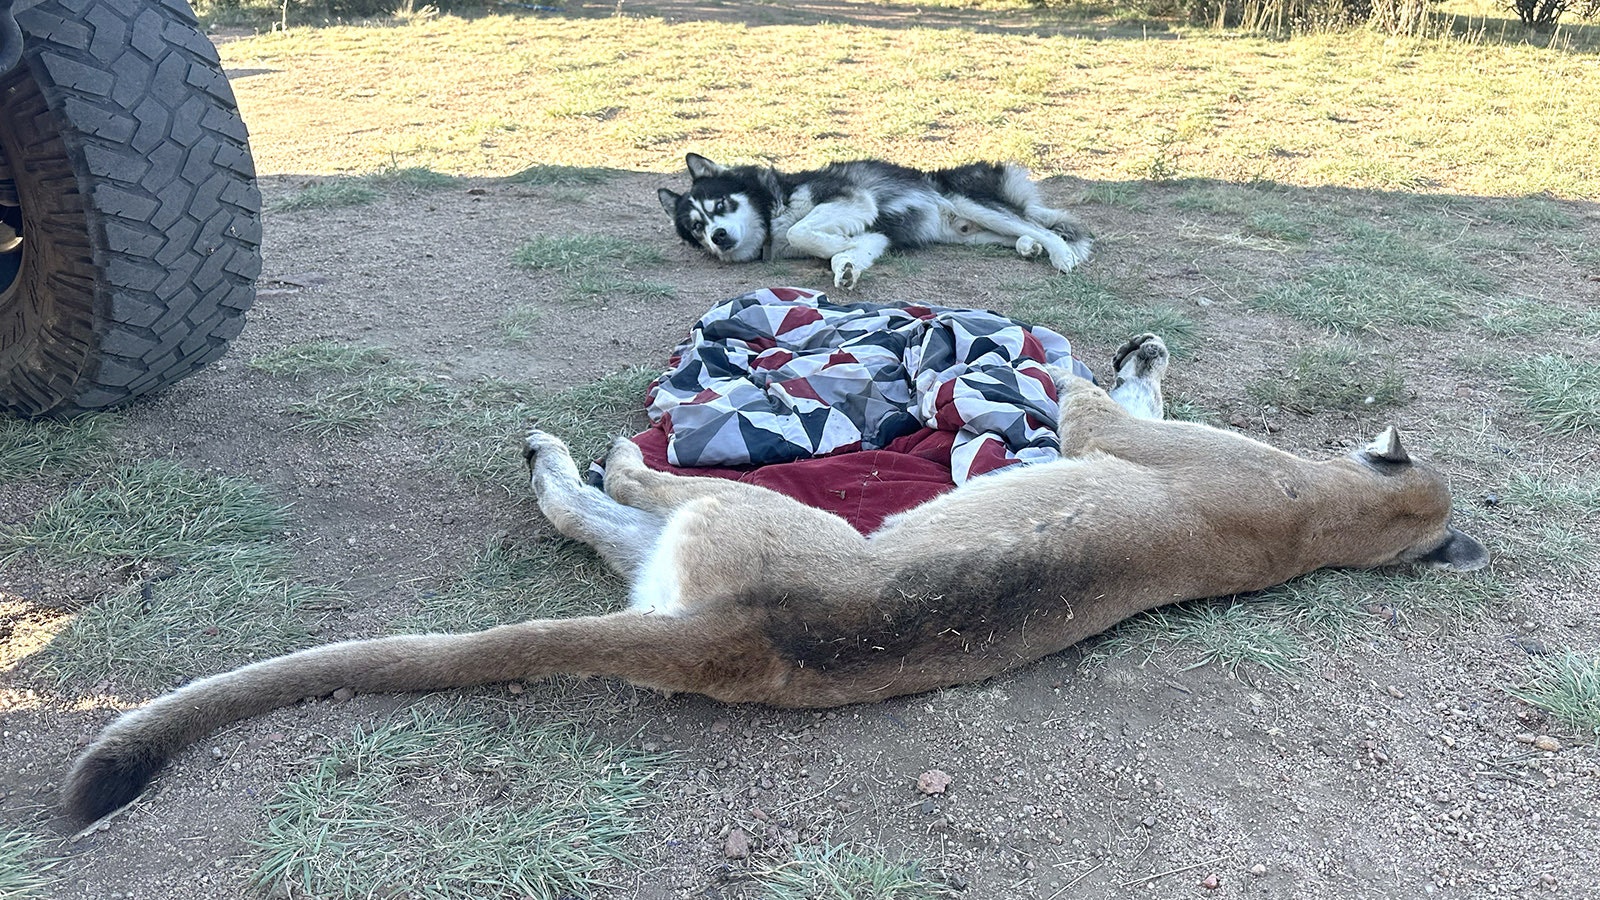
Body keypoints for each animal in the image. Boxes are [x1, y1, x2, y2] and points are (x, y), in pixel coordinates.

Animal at [656, 153, 1094, 286]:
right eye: (696, 227)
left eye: (720, 205)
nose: (719, 237)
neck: (772, 206)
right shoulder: (875, 234)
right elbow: (851, 251)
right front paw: (846, 265)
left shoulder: (854, 199)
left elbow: (801, 231)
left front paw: (838, 246)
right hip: (971, 233)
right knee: (1021, 232)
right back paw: (1028, 247)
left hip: (971, 204)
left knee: (1040, 226)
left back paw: (1059, 254)